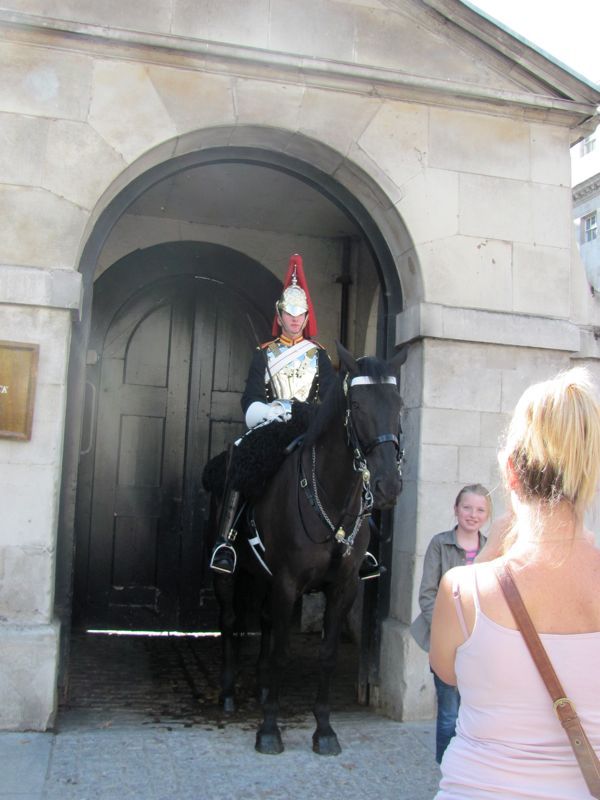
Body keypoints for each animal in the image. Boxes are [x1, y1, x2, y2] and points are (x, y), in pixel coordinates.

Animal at [209, 344, 406, 756]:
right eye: (357, 405)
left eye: (398, 404)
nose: (388, 486)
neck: (332, 496)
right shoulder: (288, 582)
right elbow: (282, 652)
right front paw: (269, 730)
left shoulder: (343, 587)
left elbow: (326, 655)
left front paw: (325, 730)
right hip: (230, 574)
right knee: (231, 620)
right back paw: (229, 692)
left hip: (261, 575)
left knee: (264, 621)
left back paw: (261, 686)